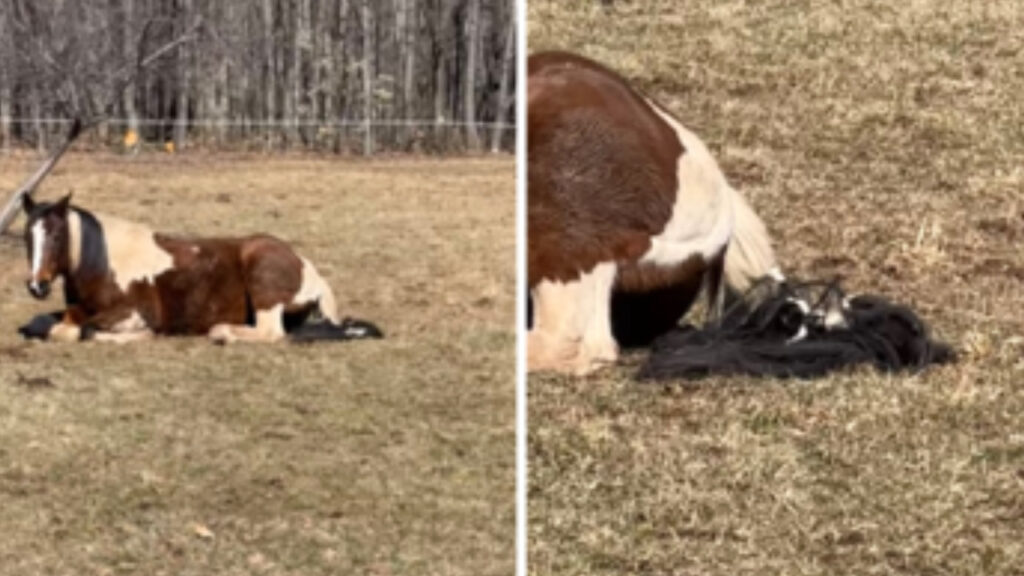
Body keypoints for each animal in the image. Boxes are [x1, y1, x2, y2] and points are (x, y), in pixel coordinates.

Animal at [16, 194, 385, 342]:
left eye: (57, 234)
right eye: (26, 235)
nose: (37, 286)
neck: (102, 263)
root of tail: (306, 267)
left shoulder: (131, 313)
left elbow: (84, 331)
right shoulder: (75, 310)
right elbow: (48, 323)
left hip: (264, 289)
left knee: (270, 333)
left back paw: (223, 333)